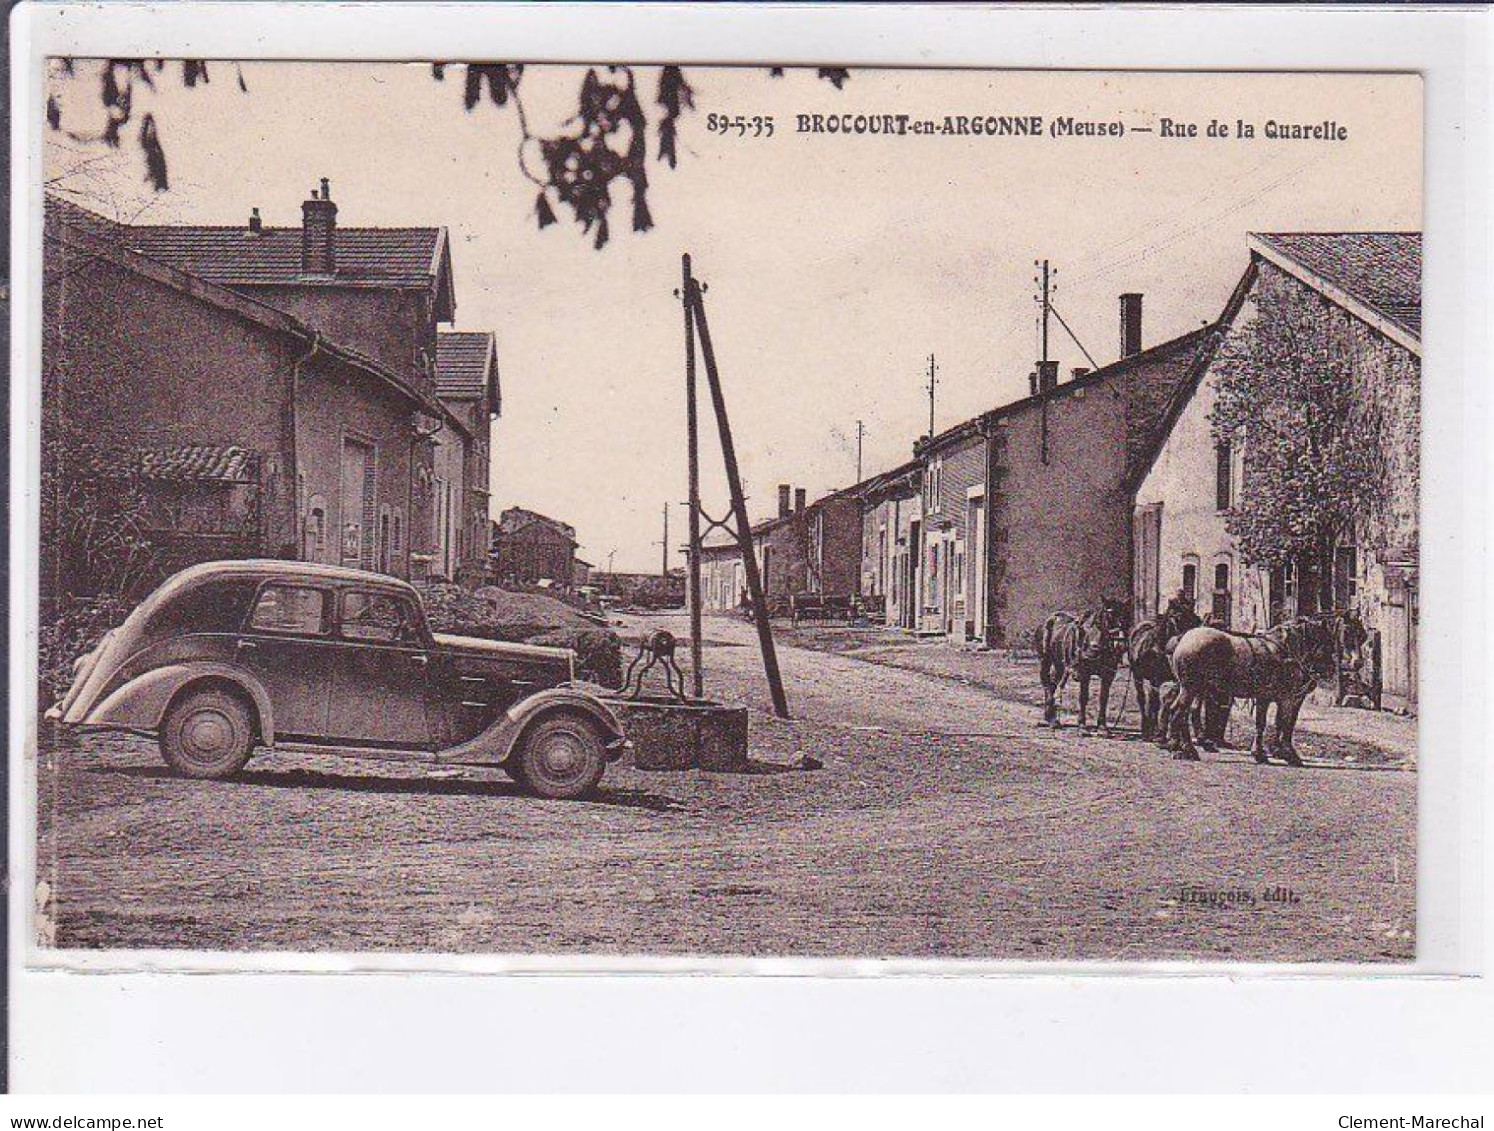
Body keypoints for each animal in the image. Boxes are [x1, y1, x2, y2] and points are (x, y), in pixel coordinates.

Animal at [1039, 594, 1129, 738]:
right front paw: (1082, 726)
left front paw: (1103, 727)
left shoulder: (1108, 675)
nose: (1120, 645)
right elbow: (1083, 697)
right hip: (1046, 660)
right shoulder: (1084, 673)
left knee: (1052, 684)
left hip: (1060, 666)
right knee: (1047, 684)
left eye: (1126, 616)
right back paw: (1052, 719)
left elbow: (1103, 698)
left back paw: (1051, 718)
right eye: (1109, 616)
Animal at [1123, 591, 1201, 741]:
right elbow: (1156, 703)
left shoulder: (1178, 680)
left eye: (1196, 620)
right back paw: (1146, 728)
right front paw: (1154, 732)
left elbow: (1172, 701)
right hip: (1137, 675)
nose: (1188, 645)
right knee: (1143, 698)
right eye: (1177, 618)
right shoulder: (1155, 679)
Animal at [1165, 612, 1368, 761]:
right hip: (1190, 687)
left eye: (1363, 636)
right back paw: (1183, 749)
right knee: (1179, 711)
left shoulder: (1271, 697)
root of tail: (1183, 639)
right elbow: (1285, 723)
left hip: (1195, 689)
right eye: (1347, 632)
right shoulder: (1288, 697)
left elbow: (1270, 723)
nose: (1358, 663)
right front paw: (1288, 754)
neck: (1290, 649)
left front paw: (1265, 752)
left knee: (1186, 712)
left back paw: (1186, 746)